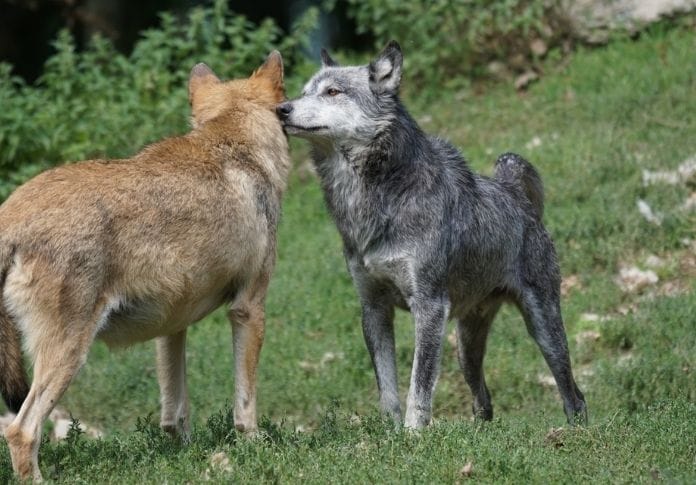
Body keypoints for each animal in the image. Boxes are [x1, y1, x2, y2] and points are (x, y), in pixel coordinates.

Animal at [0, 51, 289, 481]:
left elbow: (175, 412)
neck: (237, 146)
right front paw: (255, 449)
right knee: (21, 430)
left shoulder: (172, 325)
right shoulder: (248, 310)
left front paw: (184, 454)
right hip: (69, 355)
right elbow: (245, 404)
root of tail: (11, 215)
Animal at [277, 41, 587, 429]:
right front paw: (390, 434)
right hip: (464, 347)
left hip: (542, 330)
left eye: (333, 92)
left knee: (574, 393)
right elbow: (388, 392)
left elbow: (418, 388)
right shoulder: (374, 309)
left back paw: (575, 431)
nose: (281, 109)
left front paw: (412, 435)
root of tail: (513, 191)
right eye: (304, 91)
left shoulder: (428, 308)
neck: (376, 199)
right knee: (484, 400)